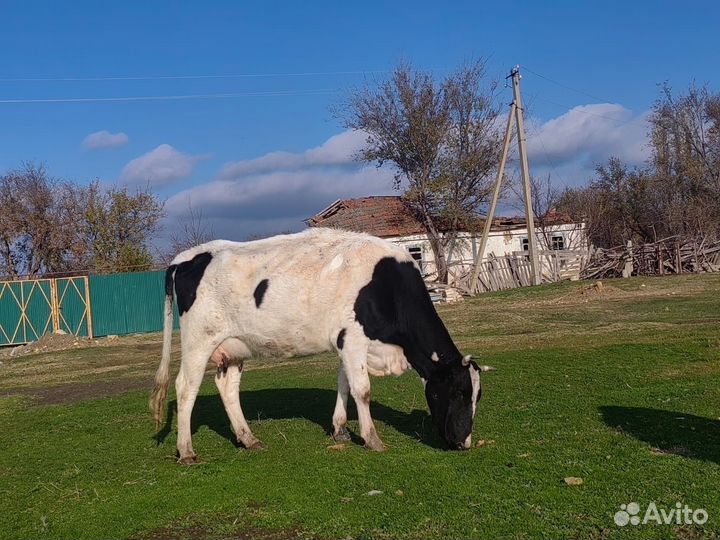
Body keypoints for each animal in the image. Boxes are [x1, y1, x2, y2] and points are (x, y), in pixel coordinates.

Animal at [150, 228, 492, 463]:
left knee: (227, 386)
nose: (464, 442)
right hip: (199, 340)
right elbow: (362, 390)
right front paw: (372, 439)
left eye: (477, 396)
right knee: (185, 387)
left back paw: (248, 439)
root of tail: (185, 258)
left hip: (232, 347)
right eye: (459, 392)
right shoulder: (353, 338)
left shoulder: (346, 343)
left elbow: (344, 383)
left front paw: (340, 429)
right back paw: (186, 451)